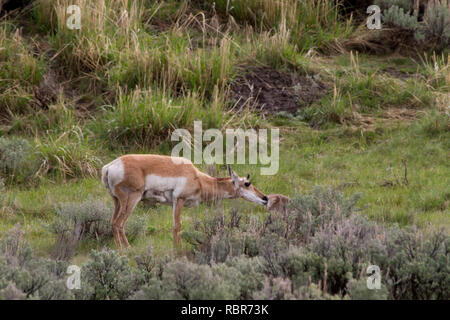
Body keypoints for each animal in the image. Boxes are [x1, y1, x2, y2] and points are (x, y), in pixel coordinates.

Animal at [101, 154, 268, 248]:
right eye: (247, 183)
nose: (265, 199)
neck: (198, 178)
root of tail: (110, 166)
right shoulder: (179, 200)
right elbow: (177, 227)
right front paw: (178, 251)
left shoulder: (175, 204)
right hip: (132, 199)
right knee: (119, 224)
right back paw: (126, 250)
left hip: (117, 201)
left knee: (113, 222)